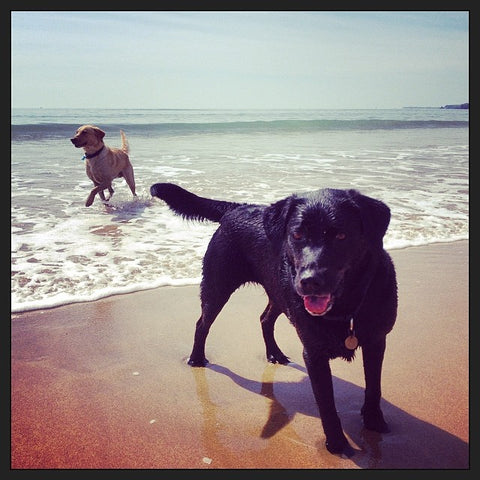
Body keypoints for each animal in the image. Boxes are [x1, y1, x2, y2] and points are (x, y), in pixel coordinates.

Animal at [150, 182, 398, 456]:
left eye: (341, 236)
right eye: (297, 235)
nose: (309, 281)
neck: (346, 308)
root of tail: (238, 207)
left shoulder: (377, 341)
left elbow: (374, 386)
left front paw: (374, 422)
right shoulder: (314, 354)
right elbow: (327, 403)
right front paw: (336, 444)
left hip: (279, 293)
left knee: (264, 319)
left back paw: (274, 354)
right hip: (218, 286)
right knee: (202, 323)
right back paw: (196, 358)